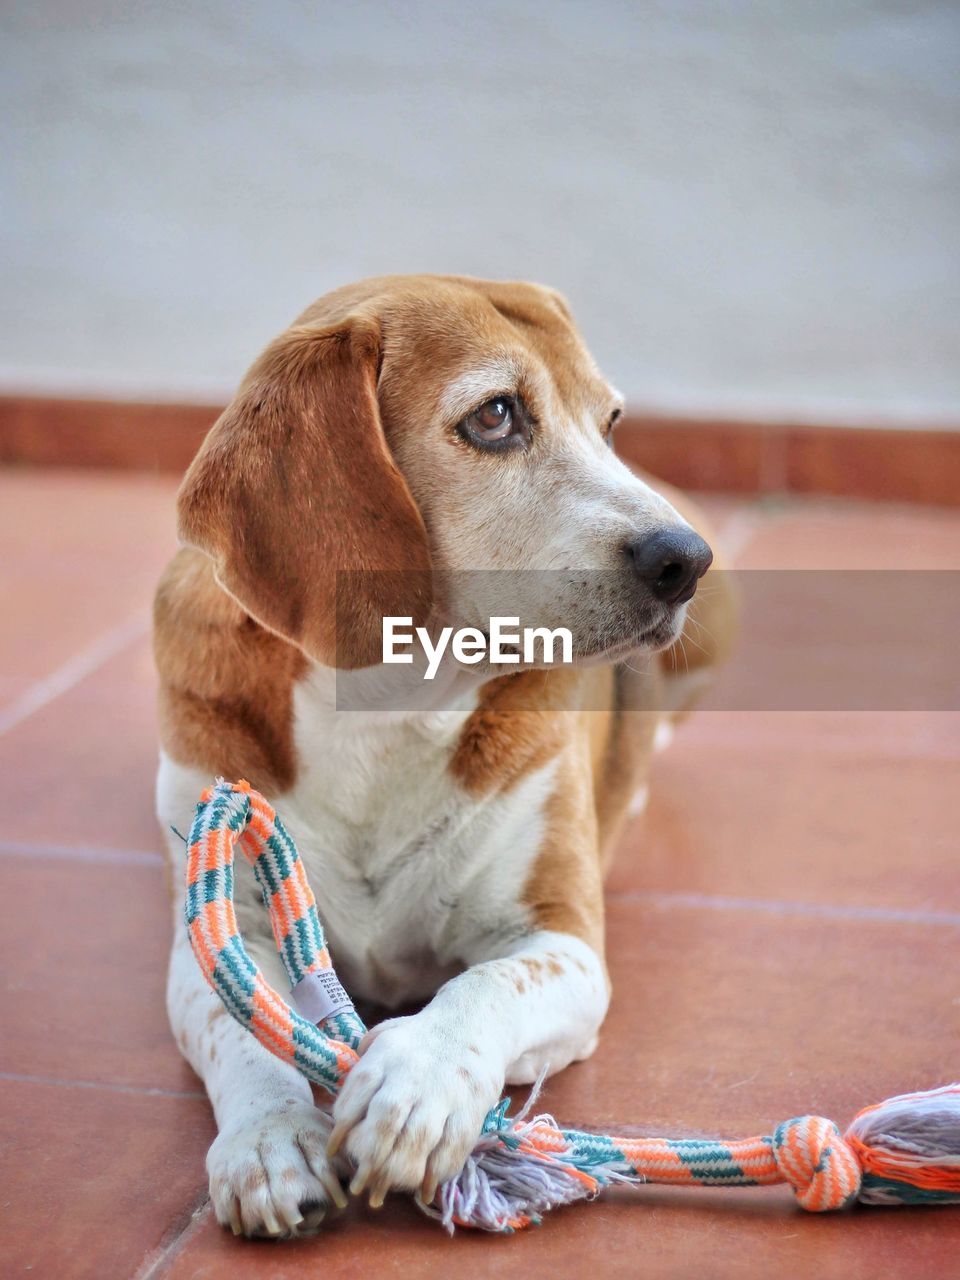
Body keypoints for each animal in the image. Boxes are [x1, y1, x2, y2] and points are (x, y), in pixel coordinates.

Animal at [156, 272, 737, 1239]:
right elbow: (241, 1026)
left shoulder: (562, 940)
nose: (685, 558)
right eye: (495, 415)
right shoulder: (224, 922)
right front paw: (271, 1141)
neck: (384, 709)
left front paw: (419, 1078)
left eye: (611, 421)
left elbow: (487, 986)